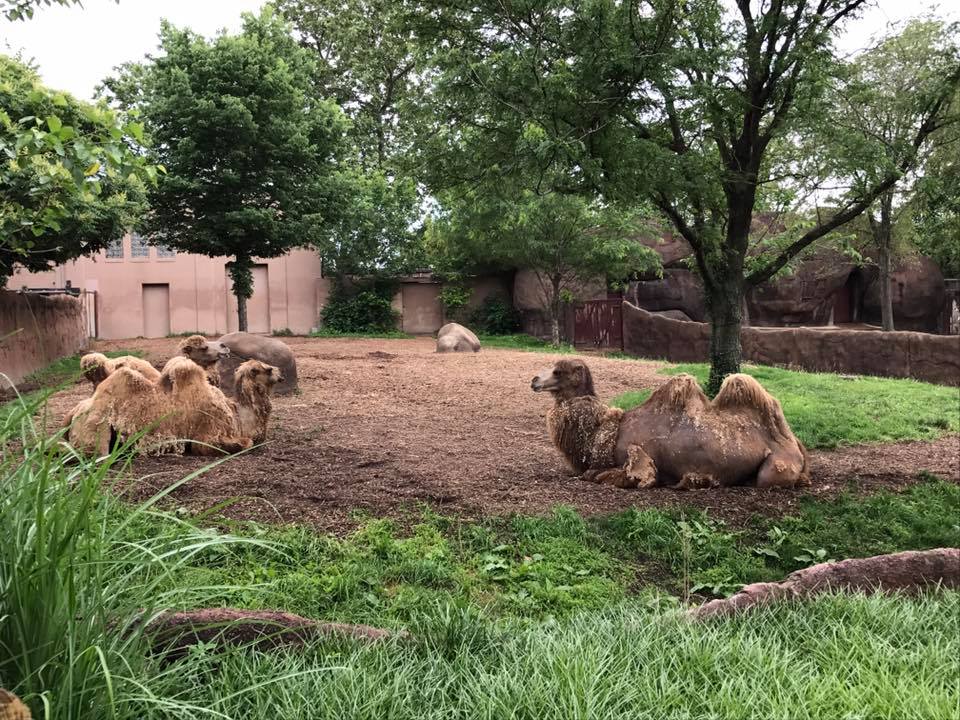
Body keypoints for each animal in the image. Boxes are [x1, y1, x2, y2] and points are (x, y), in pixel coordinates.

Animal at [531, 358, 810, 489]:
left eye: (558, 371)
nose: (534, 380)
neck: (604, 432)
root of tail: (797, 443)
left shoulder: (638, 459)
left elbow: (600, 475)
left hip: (777, 465)